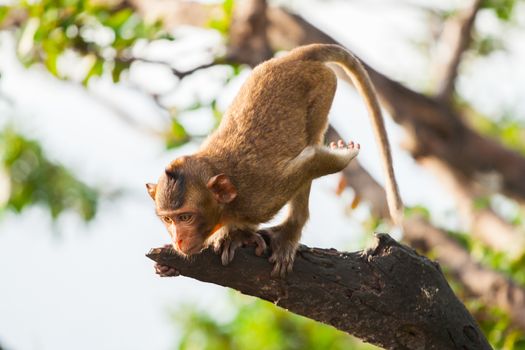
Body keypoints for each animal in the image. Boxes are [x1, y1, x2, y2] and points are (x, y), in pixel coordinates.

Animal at [145, 44, 404, 278]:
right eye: (168, 219)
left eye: (185, 217)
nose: (178, 240)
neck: (227, 206)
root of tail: (294, 57)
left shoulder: (261, 198)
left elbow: (312, 161)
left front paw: (340, 157)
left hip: (323, 86)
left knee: (311, 139)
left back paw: (289, 232)